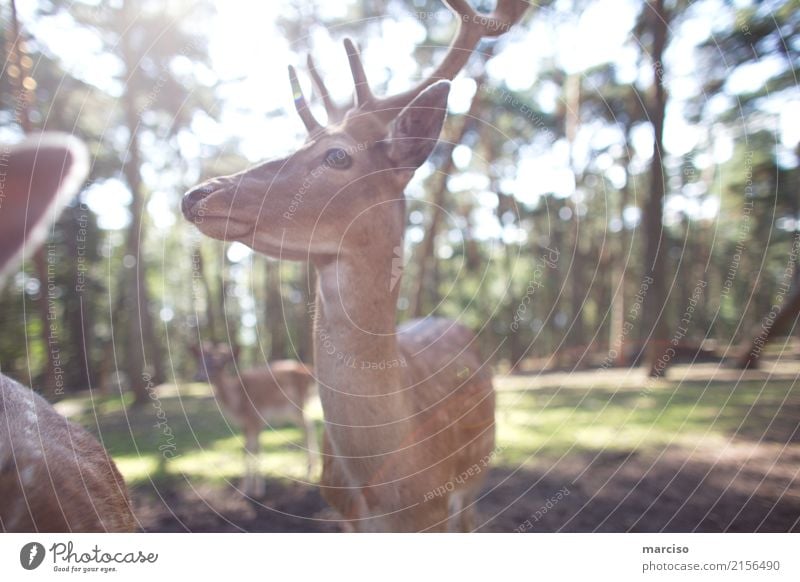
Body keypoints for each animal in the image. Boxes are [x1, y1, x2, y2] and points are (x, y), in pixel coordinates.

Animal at [192, 342, 318, 498]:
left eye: (219, 364)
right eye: (200, 361)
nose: (199, 376)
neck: (237, 402)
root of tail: (310, 372)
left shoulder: (256, 419)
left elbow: (255, 450)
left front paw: (257, 490)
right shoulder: (246, 425)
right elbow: (246, 450)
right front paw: (242, 490)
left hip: (297, 406)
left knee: (309, 427)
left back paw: (310, 472)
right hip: (294, 412)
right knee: (308, 426)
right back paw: (310, 469)